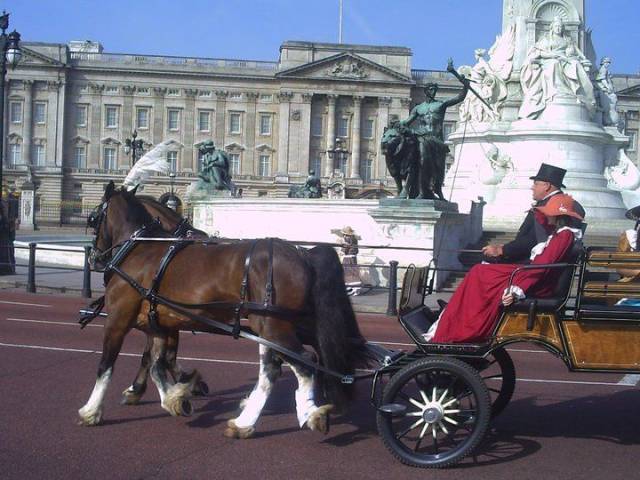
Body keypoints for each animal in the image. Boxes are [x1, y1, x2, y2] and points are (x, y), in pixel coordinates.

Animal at [80, 181, 364, 439]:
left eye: (93, 218)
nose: (95, 257)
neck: (141, 247)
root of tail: (304, 254)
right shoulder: (158, 321)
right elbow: (156, 363)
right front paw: (177, 395)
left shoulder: (119, 318)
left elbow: (107, 364)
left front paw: (92, 410)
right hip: (274, 325)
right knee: (280, 366)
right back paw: (248, 421)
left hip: (272, 325)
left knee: (301, 363)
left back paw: (306, 414)